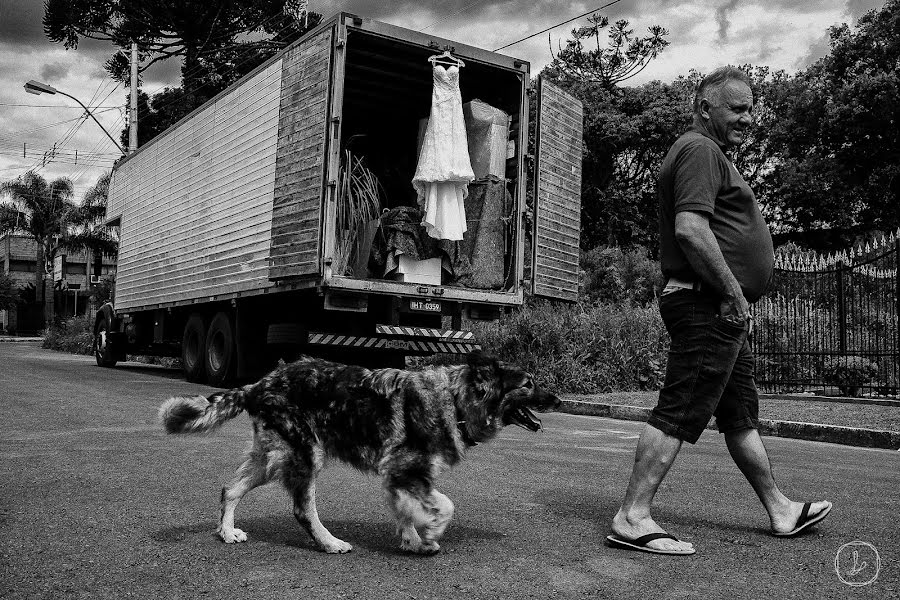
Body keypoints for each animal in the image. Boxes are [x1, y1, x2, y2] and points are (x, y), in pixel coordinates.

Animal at [158, 352, 560, 552]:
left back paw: (227, 533)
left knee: (230, 490)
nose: (557, 399)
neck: (455, 400)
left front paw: (412, 540)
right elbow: (445, 506)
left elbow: (406, 509)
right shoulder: (404, 468)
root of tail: (259, 383)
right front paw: (430, 535)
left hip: (270, 458)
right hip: (307, 456)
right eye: (528, 384)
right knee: (302, 509)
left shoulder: (399, 475)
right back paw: (329, 543)